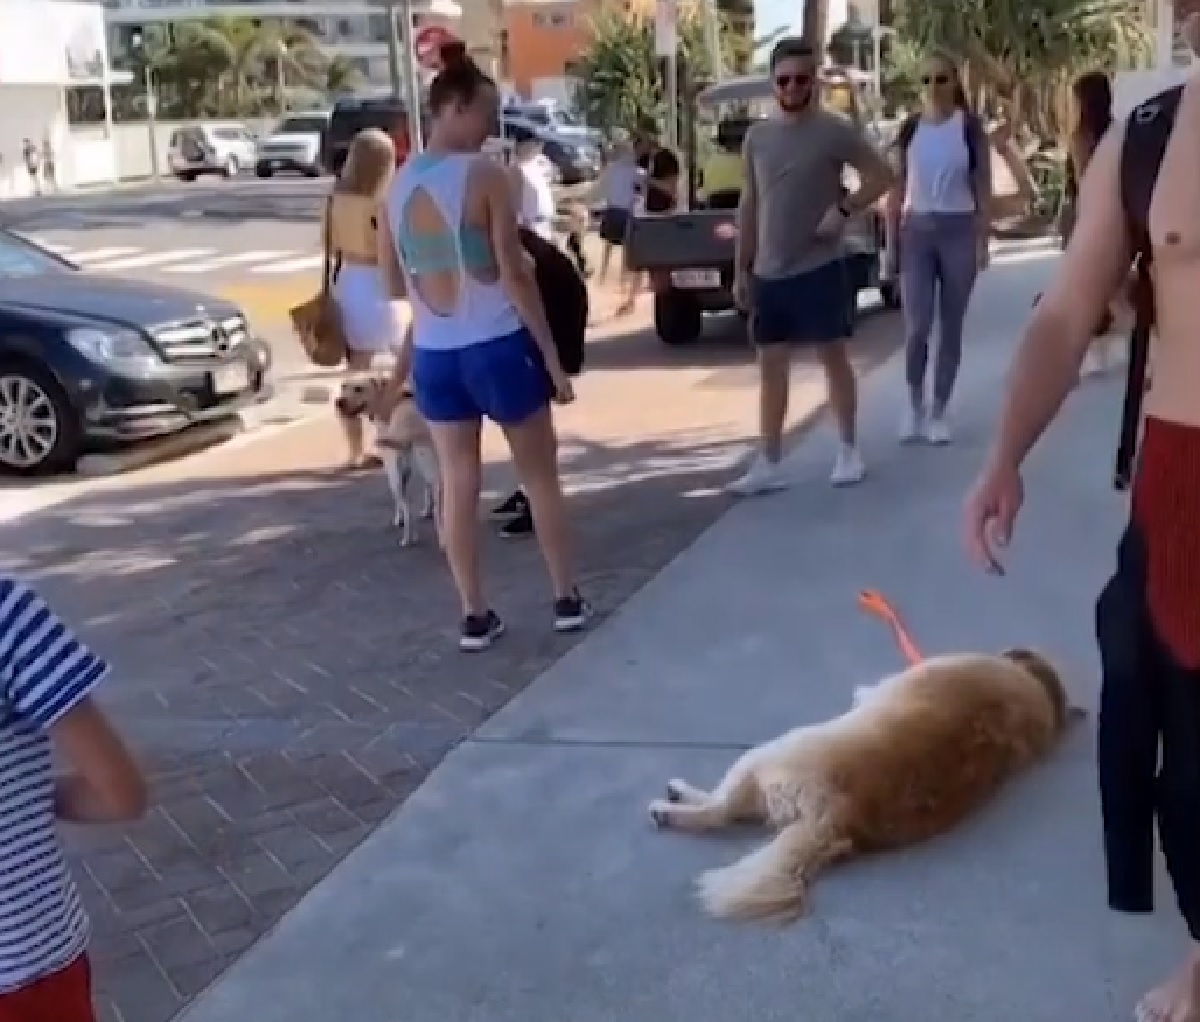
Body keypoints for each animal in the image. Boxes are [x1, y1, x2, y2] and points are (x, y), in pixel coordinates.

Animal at [333, 379, 441, 546]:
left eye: (359, 389)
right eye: (343, 386)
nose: (339, 402)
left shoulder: (394, 465)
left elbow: (399, 501)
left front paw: (399, 519)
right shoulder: (412, 465)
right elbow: (426, 489)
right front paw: (426, 511)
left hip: (409, 467)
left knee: (408, 506)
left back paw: (408, 538)